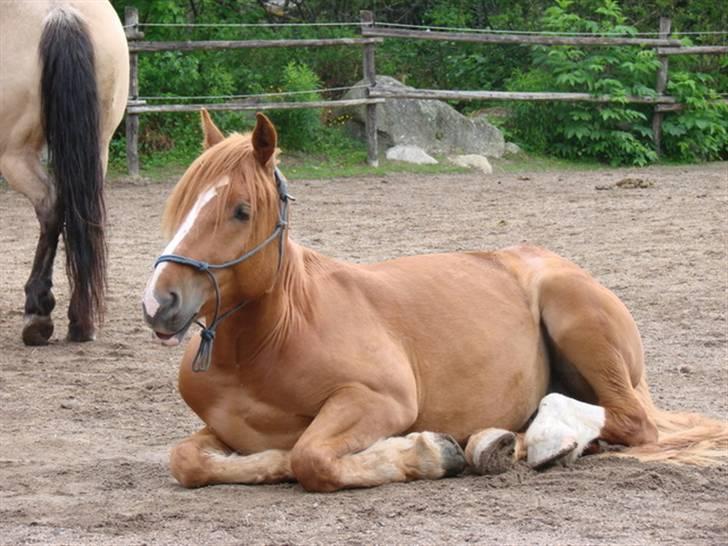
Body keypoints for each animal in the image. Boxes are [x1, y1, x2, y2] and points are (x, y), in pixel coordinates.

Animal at [0, 1, 128, 344]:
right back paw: (81, 321)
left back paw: (37, 312)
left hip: (15, 155)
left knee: (51, 205)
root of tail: (59, 12)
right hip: (98, 147)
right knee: (83, 216)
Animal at [144, 109, 728, 488]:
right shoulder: (220, 431)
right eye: (184, 201)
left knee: (631, 421)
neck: (268, 346)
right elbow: (187, 460)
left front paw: (423, 453)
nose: (158, 302)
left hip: (578, 324)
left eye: (241, 210)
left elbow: (309, 457)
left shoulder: (380, 399)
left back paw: (520, 443)